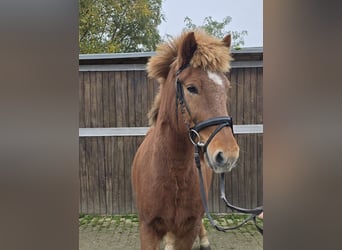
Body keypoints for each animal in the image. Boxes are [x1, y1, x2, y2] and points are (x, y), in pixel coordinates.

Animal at [132, 30, 239, 249]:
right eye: (191, 88)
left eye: (226, 88)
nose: (228, 155)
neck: (174, 170)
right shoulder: (147, 229)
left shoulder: (189, 227)